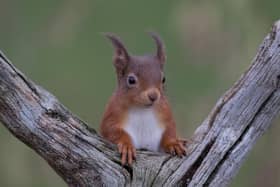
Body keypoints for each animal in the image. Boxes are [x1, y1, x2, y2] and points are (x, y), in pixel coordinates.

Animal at [100, 32, 186, 165]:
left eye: (163, 79)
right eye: (131, 80)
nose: (153, 96)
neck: (142, 109)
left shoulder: (166, 113)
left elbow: (170, 130)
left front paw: (173, 143)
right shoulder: (112, 115)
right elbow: (112, 131)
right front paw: (126, 146)